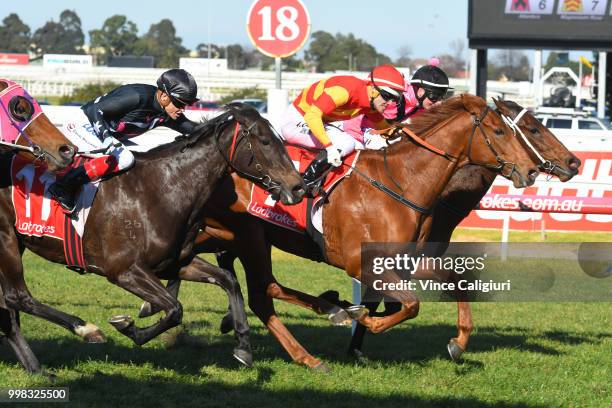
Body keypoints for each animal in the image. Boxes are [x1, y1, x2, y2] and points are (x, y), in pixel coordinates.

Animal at [0, 103, 304, 372]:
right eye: (265, 141)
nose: (298, 187)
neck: (163, 188)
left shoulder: (173, 263)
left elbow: (228, 280)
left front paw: (242, 345)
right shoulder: (124, 271)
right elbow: (175, 309)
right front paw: (129, 327)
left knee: (10, 307)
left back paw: (37, 368)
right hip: (7, 241)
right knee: (18, 298)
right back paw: (85, 330)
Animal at [142, 93, 540, 370]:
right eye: (501, 131)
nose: (532, 170)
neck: (401, 184)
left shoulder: (406, 261)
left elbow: (453, 284)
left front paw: (458, 342)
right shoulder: (359, 262)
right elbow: (410, 304)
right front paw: (361, 316)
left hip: (233, 236)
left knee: (255, 288)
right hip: (245, 236)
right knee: (259, 293)